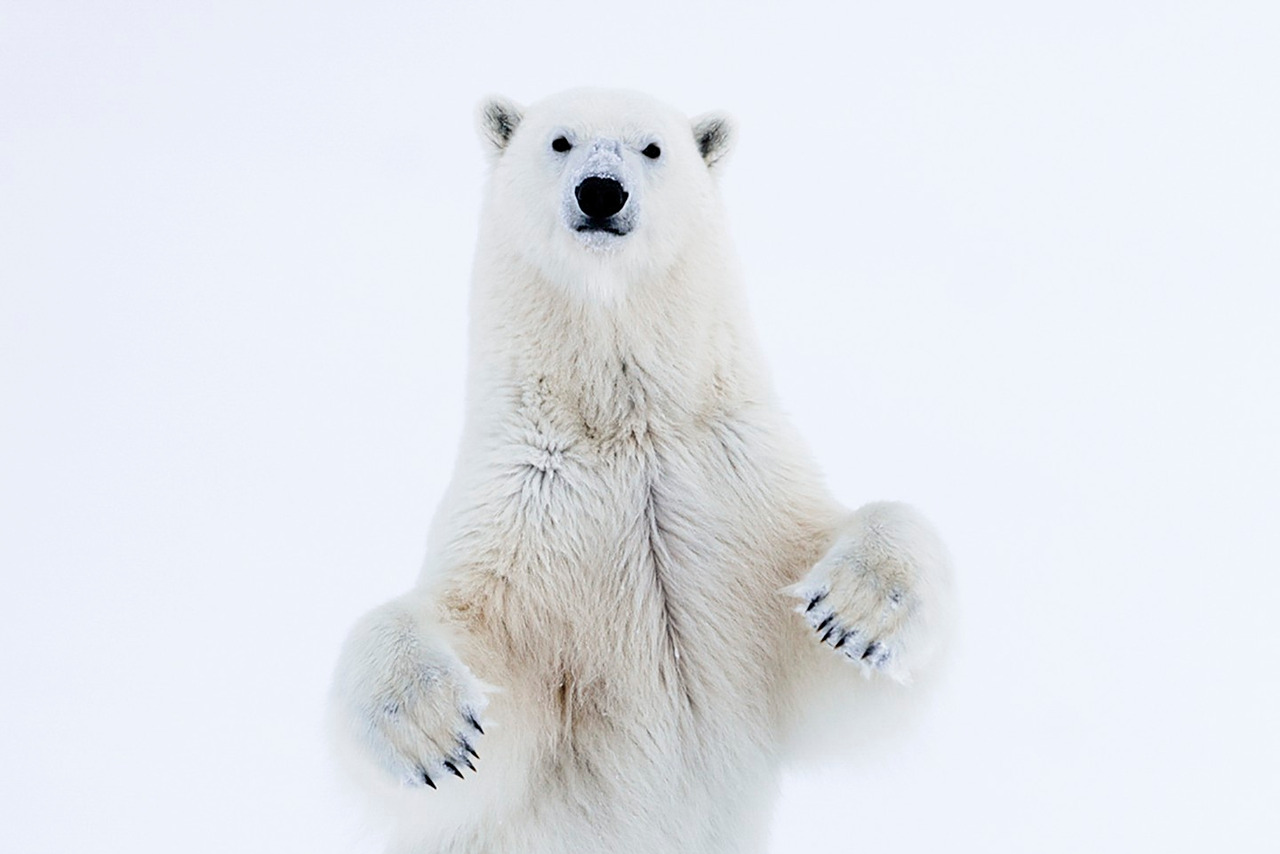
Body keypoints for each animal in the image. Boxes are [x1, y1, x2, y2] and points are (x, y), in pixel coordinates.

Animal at [330, 88, 952, 854]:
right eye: (560, 141)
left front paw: (852, 611)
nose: (601, 191)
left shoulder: (736, 481)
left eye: (653, 147)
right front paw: (433, 729)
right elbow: (490, 726)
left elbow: (842, 677)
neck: (628, 433)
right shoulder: (528, 511)